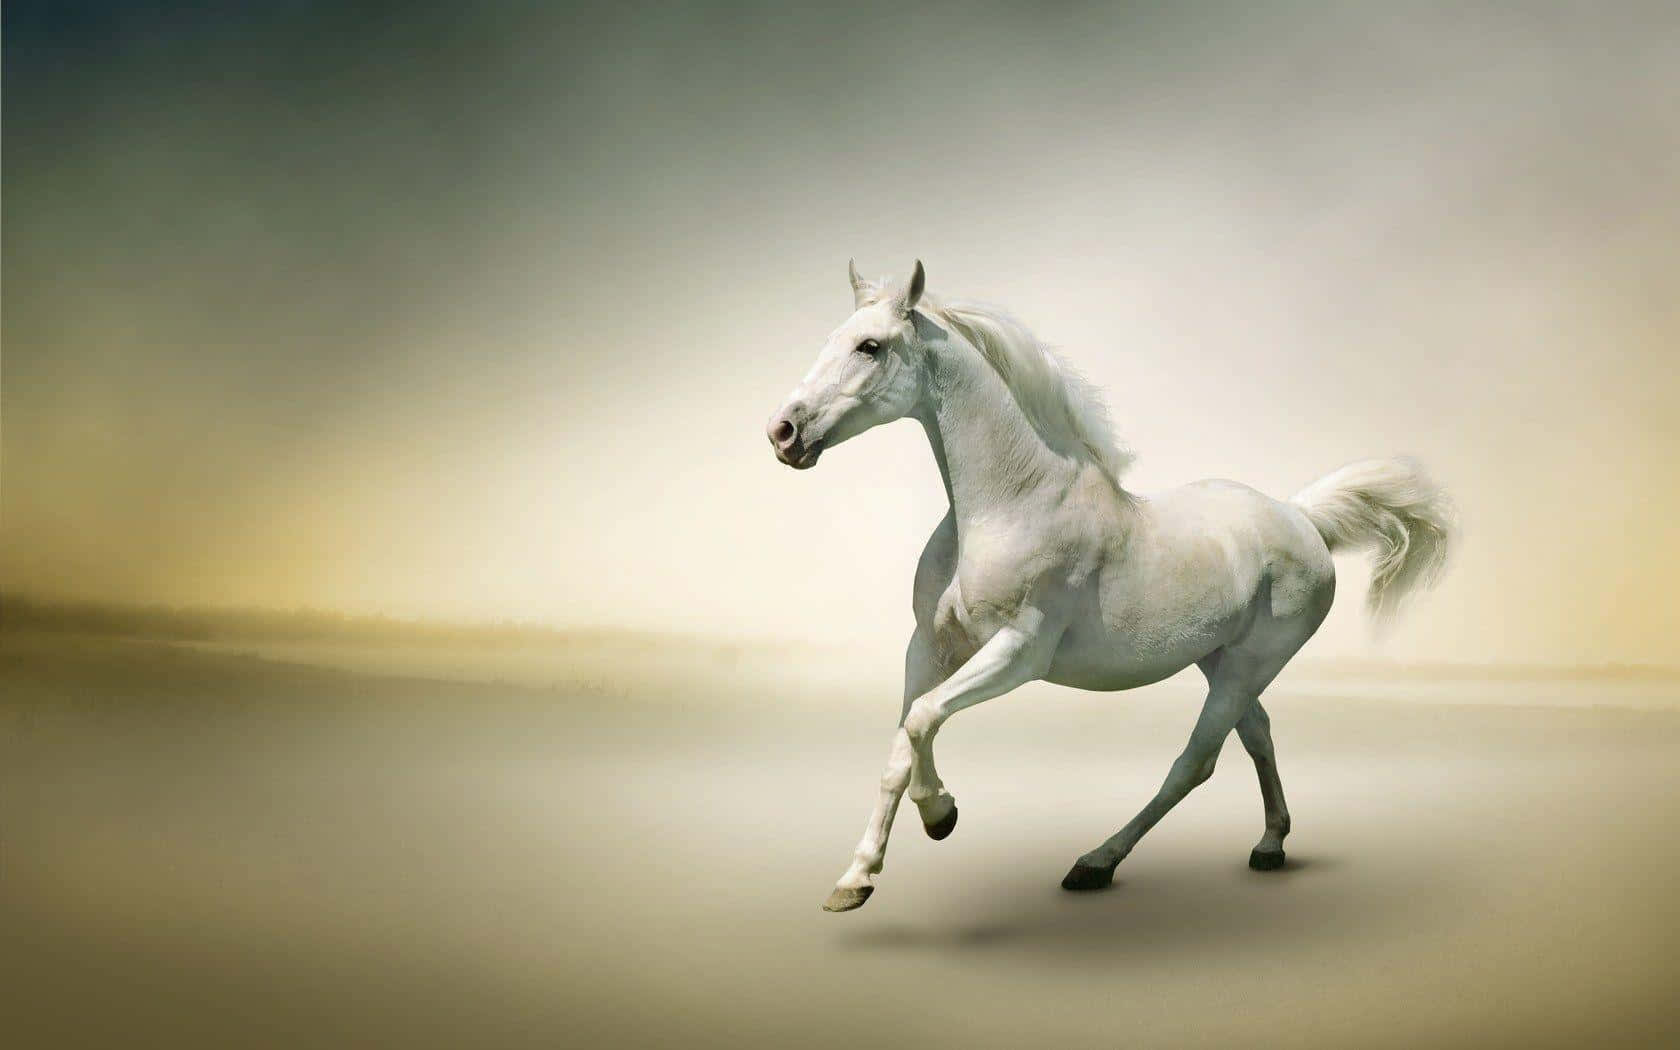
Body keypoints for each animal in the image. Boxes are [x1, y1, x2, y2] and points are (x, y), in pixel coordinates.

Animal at [766, 261, 1455, 913]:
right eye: (833, 338)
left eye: (871, 346)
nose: (784, 432)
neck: (1011, 505)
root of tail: (1301, 517)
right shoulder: (929, 646)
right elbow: (901, 743)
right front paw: (855, 879)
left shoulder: (1019, 652)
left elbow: (923, 721)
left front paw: (942, 815)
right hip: (1218, 659)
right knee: (1257, 734)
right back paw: (1270, 844)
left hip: (1249, 664)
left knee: (1195, 762)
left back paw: (1095, 863)